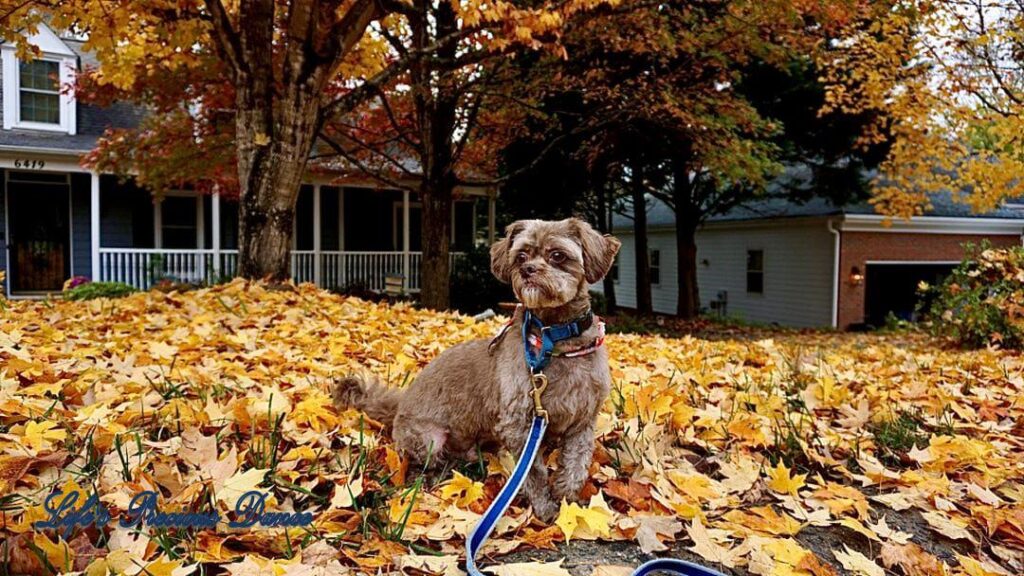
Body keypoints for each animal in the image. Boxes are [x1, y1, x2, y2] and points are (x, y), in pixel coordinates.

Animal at [333, 216, 622, 520]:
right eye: (521, 256)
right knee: (417, 467)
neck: (556, 339)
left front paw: (568, 499)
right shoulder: (519, 423)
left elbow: (577, 464)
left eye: (558, 255)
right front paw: (545, 509)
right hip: (430, 438)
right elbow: (533, 472)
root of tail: (399, 407)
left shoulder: (583, 421)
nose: (527, 269)